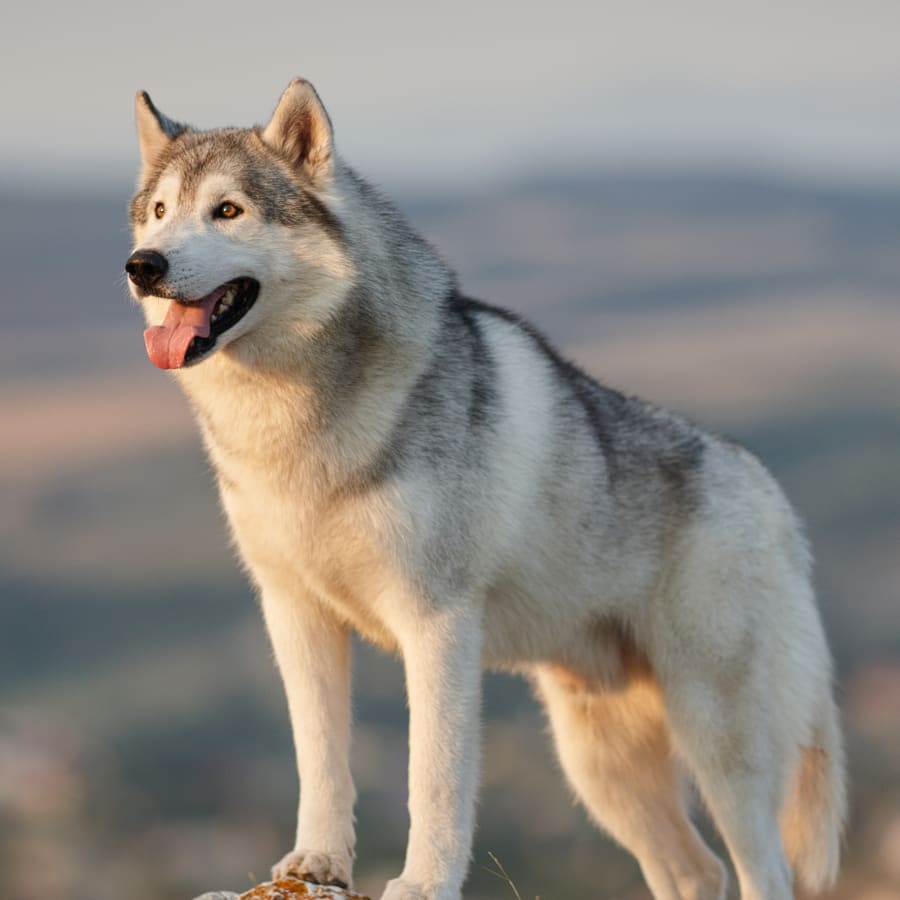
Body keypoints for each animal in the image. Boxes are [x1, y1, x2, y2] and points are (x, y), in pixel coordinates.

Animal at [125, 79, 844, 900]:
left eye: (228, 210)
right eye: (159, 212)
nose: (142, 264)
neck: (293, 429)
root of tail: (771, 497)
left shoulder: (436, 627)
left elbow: (432, 779)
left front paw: (421, 884)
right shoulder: (297, 616)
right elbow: (322, 762)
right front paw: (315, 864)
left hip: (718, 751)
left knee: (762, 870)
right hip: (602, 769)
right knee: (697, 871)